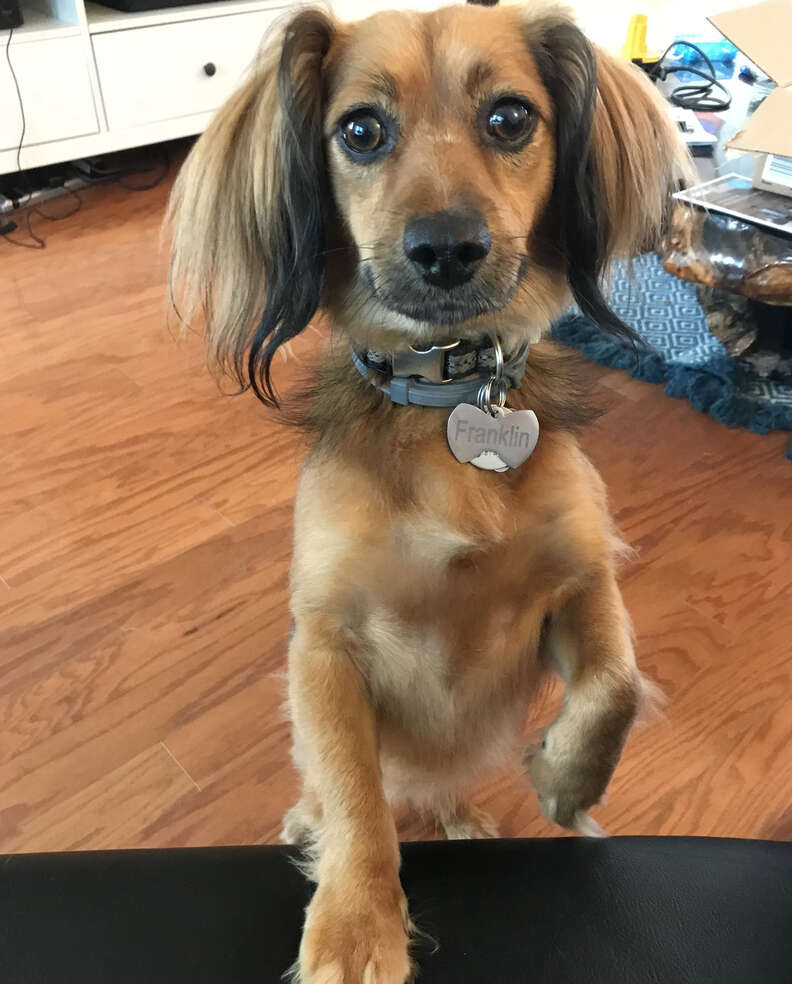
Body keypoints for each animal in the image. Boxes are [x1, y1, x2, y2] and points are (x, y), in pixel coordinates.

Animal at [167, 3, 688, 980]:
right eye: (361, 131)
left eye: (511, 119)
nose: (446, 248)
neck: (452, 399)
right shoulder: (326, 645)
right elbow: (355, 797)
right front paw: (356, 927)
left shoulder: (582, 582)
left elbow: (618, 684)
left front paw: (565, 780)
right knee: (336, 793)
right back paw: (308, 823)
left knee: (444, 788)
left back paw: (464, 818)